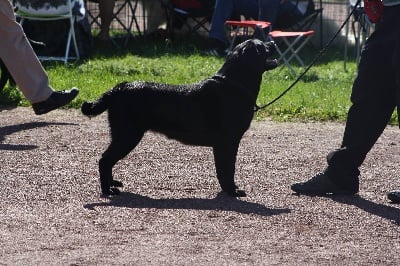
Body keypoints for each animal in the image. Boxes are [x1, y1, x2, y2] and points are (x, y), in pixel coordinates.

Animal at [80, 40, 276, 197]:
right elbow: (227, 170)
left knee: (108, 160)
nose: (273, 42)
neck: (234, 84)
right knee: (104, 160)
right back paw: (107, 190)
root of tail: (118, 88)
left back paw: (113, 184)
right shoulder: (227, 142)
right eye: (261, 46)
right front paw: (232, 191)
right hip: (127, 136)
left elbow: (224, 170)